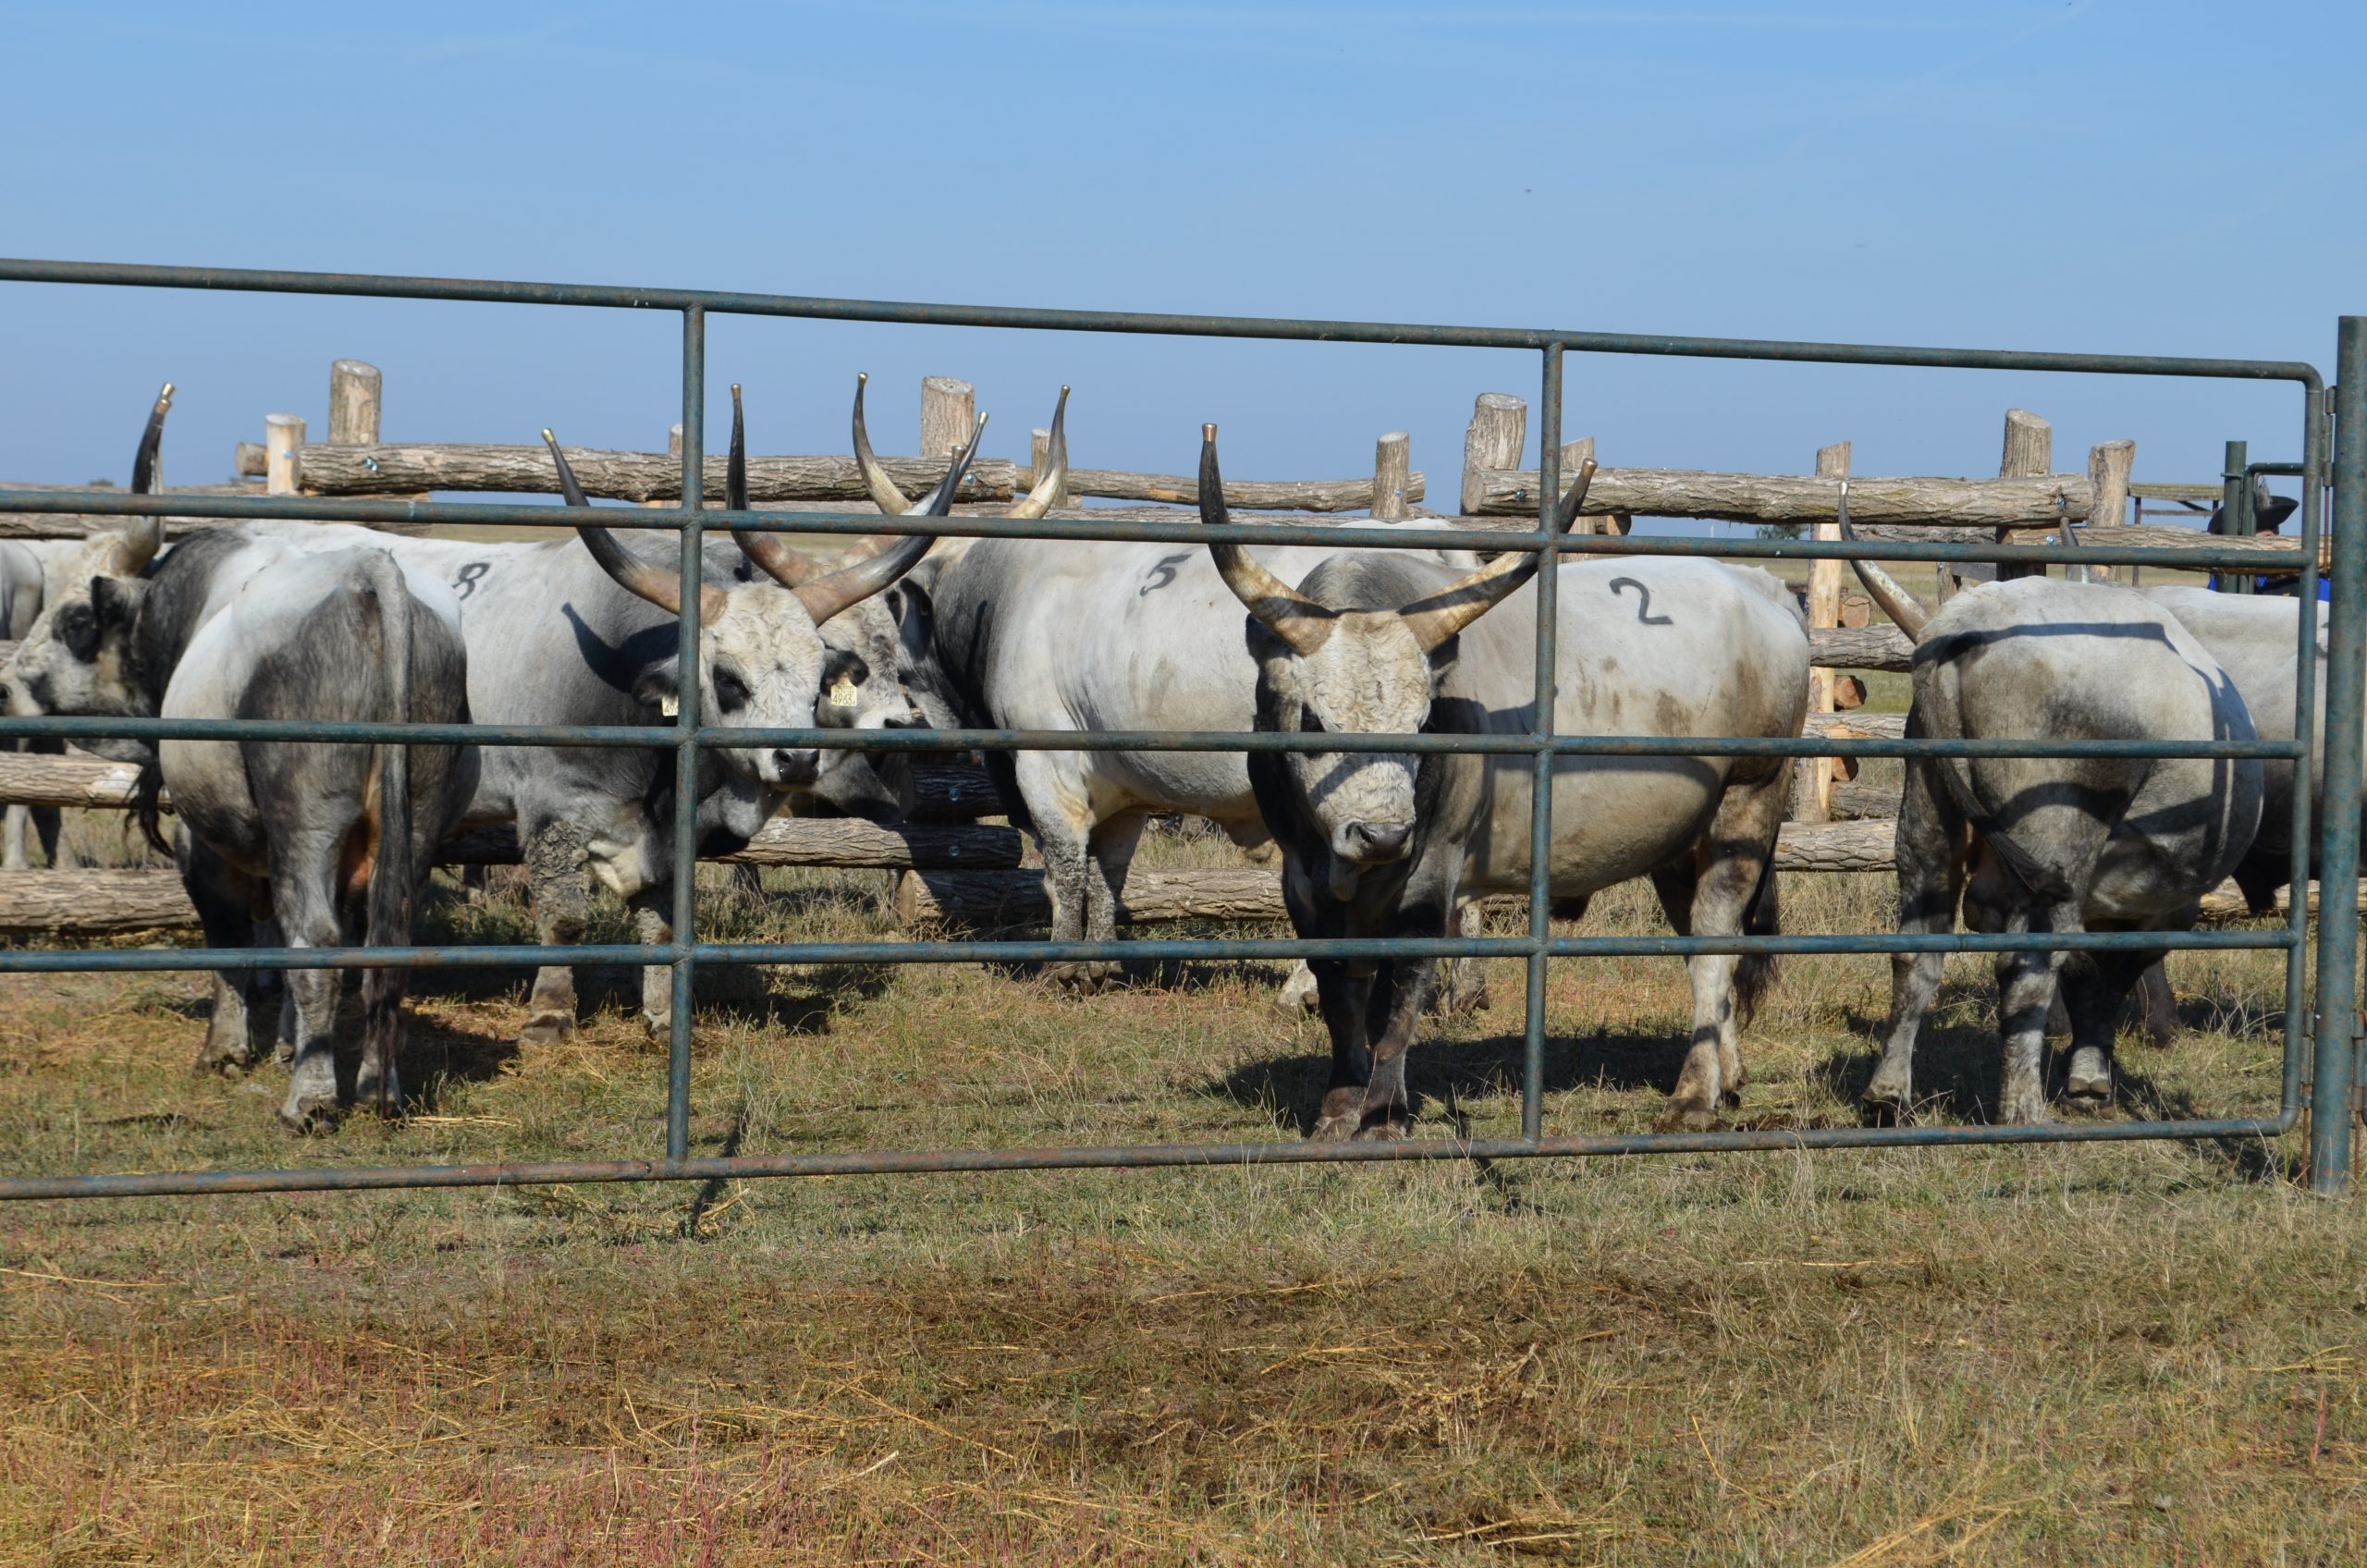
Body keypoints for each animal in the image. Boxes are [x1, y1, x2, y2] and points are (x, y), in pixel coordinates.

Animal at [1197, 426, 1811, 1138]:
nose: (1383, 836)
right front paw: (1337, 1109)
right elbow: (1340, 999)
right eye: (1316, 720)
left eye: (1423, 722)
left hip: (1748, 804)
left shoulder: (1429, 875)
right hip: (1682, 839)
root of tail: (1761, 587)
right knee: (1708, 943)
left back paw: (1692, 1097)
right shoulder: (1301, 880)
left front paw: (1384, 1114)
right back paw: (1725, 1074)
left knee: (1714, 943)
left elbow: (1396, 1001)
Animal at [1842, 546, 2263, 1124]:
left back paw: (1887, 1092)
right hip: (2058, 839)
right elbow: (2106, 978)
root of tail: (1961, 627)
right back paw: (2022, 1109)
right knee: (2027, 970)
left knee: (1916, 953)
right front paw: (2089, 1076)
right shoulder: (2152, 909)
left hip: (1928, 820)